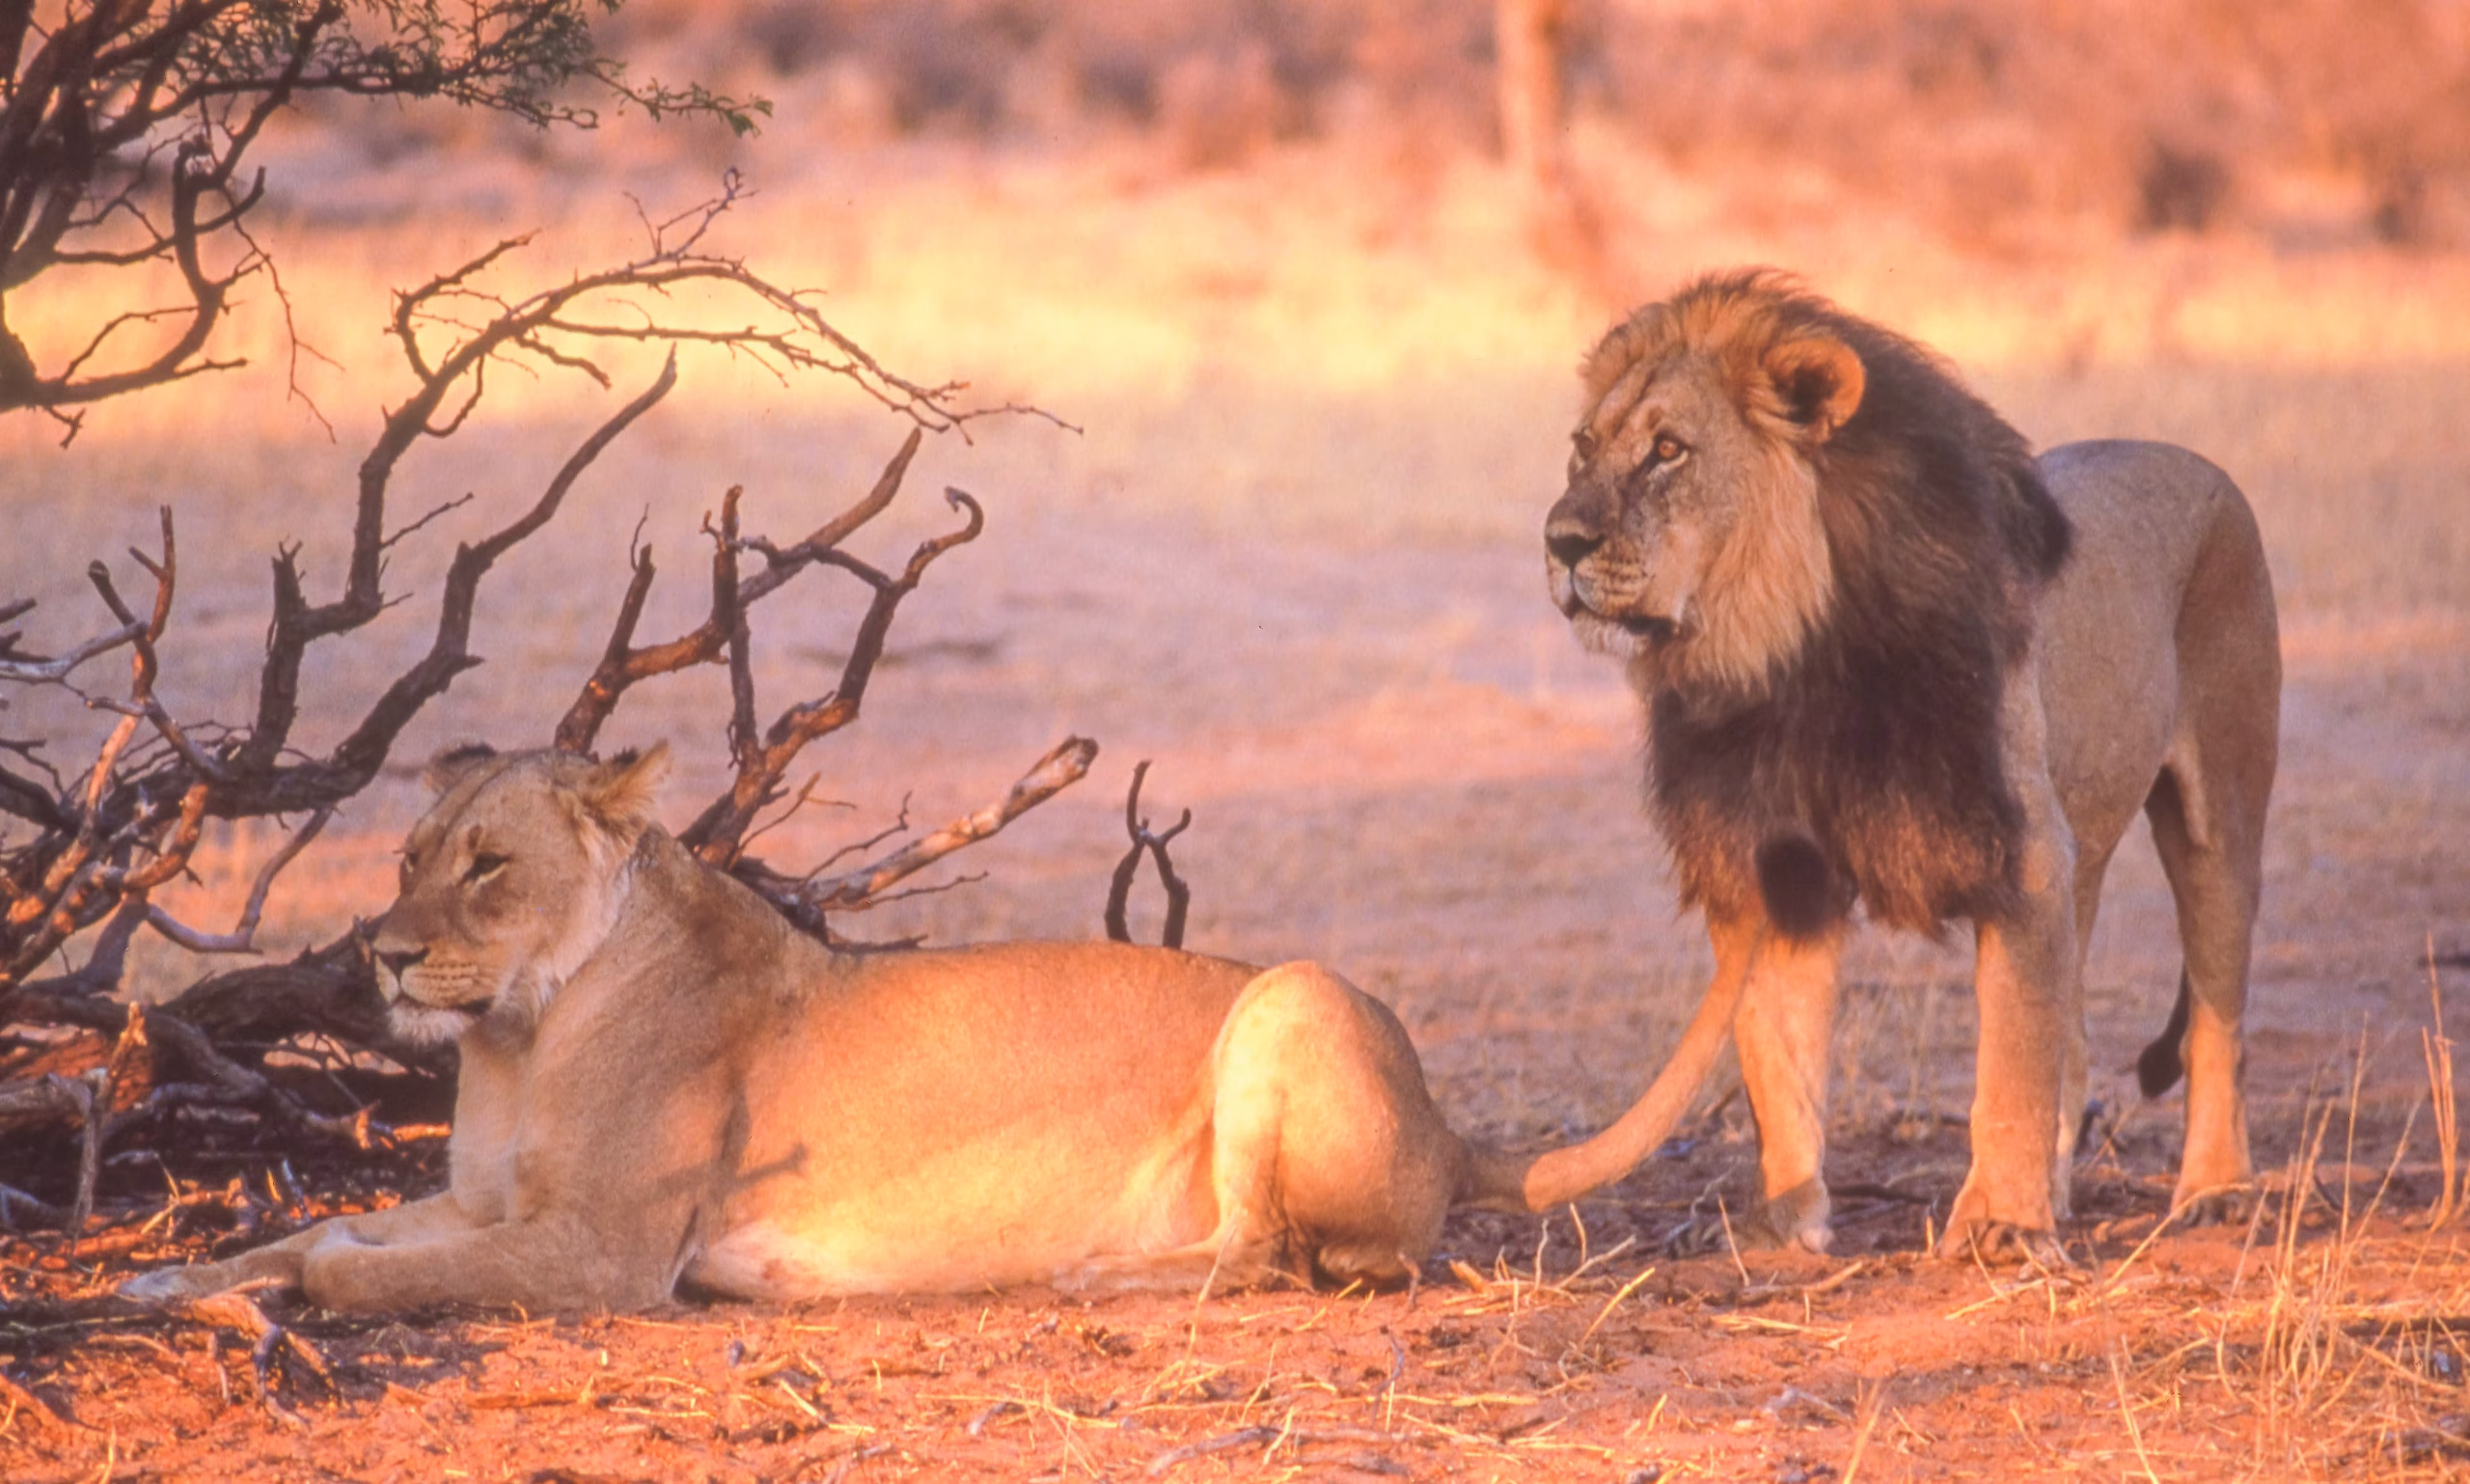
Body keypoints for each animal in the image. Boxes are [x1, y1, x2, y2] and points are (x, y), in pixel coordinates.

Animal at [122, 744, 1726, 1313]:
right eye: (405, 856)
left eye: (488, 864)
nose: (382, 950)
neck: (520, 1032)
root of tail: (1453, 1127)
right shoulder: (484, 1201)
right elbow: (315, 1230)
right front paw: (172, 1277)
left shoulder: (604, 1253)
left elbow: (365, 1266)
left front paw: (312, 1280)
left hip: (1293, 992)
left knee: (1276, 1256)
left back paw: (1085, 1271)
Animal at [1541, 270, 2279, 1258]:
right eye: (1582, 449)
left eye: (1668, 450)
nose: (1559, 540)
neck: (1789, 659)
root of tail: (2196, 462)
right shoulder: (1772, 867)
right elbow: (1778, 1054)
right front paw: (1787, 1227)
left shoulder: (2021, 852)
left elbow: (2009, 1058)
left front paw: (2001, 1227)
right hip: (2084, 841)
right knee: (2079, 1036)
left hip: (2219, 819)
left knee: (2217, 1016)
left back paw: (2215, 1190)